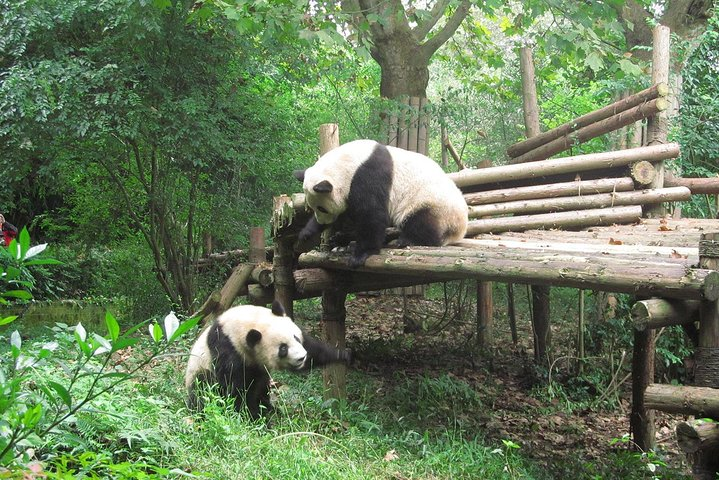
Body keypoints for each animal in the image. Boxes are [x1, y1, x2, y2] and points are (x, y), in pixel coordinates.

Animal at [184, 302, 350, 418]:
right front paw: (253, 418)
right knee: (203, 390)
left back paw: (271, 408)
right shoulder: (228, 350)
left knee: (261, 385)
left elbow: (313, 348)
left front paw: (344, 355)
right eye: (283, 348)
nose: (301, 358)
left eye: (295, 337)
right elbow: (234, 390)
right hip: (200, 371)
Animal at [296, 139, 470, 268]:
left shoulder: (368, 176)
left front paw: (361, 254)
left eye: (322, 208)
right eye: (312, 207)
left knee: (422, 223)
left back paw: (406, 240)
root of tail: (460, 229)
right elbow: (348, 215)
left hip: (432, 205)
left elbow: (371, 215)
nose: (323, 221)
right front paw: (307, 233)